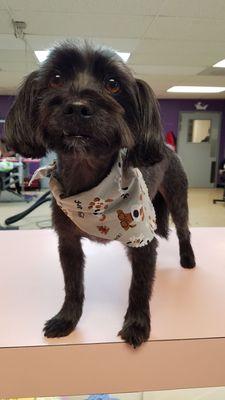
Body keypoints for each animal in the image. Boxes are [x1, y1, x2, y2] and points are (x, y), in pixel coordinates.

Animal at [4, 40, 196, 346]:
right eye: (55, 78)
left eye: (113, 84)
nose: (77, 107)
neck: (93, 192)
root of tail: (167, 147)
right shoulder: (68, 242)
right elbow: (73, 285)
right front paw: (67, 319)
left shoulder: (143, 240)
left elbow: (139, 287)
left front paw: (137, 324)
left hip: (177, 196)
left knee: (184, 229)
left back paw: (188, 260)